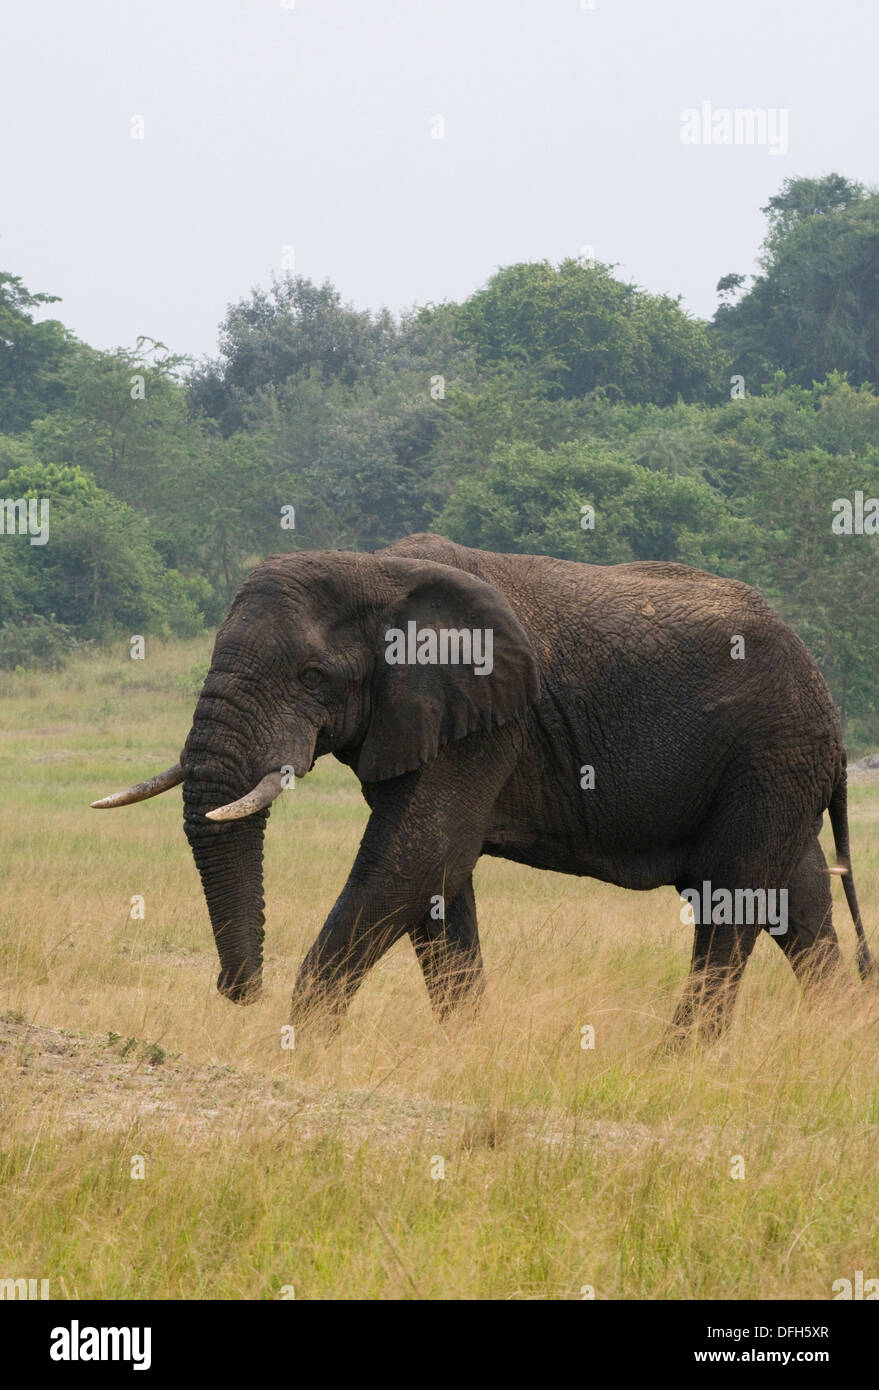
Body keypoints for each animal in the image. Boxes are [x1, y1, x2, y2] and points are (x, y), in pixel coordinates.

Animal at [92, 530, 873, 1045]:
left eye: (313, 677)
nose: (238, 993)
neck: (375, 568)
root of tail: (826, 696)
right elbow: (436, 880)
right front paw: (467, 1047)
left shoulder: (486, 723)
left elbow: (412, 861)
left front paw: (301, 1048)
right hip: (773, 762)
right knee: (794, 896)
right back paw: (835, 1036)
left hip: (772, 750)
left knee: (732, 894)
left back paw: (680, 1058)